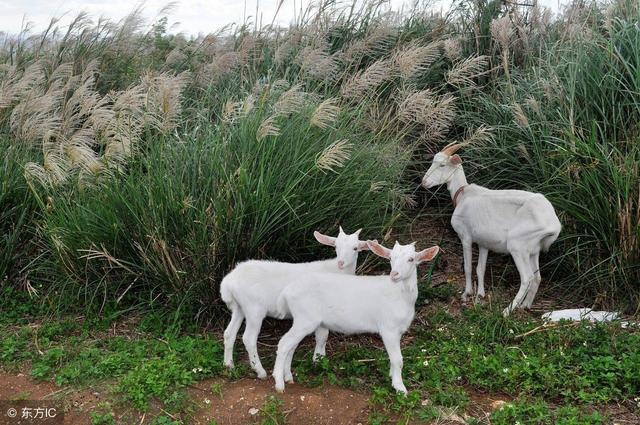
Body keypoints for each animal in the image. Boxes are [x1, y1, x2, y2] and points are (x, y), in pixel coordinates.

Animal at [219, 227, 372, 380]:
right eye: (336, 246)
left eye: (355, 248)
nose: (341, 263)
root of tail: (228, 281)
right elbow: (322, 336)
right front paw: (318, 361)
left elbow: (322, 337)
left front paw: (320, 359)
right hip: (254, 309)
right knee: (249, 338)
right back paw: (260, 371)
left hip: (239, 308)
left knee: (229, 333)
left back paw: (229, 365)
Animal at [270, 240, 440, 392]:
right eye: (390, 258)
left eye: (411, 259)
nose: (394, 274)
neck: (400, 294)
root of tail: (287, 291)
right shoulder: (388, 329)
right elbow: (398, 359)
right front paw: (400, 388)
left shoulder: (398, 331)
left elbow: (395, 359)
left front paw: (392, 377)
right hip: (305, 318)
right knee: (284, 343)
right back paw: (279, 383)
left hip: (301, 319)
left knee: (291, 346)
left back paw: (288, 377)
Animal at [422, 142, 564, 314]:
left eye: (442, 165)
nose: (424, 182)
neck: (463, 195)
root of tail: (553, 224)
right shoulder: (484, 243)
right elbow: (480, 268)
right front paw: (480, 294)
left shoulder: (465, 237)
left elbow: (468, 267)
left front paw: (467, 294)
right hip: (533, 249)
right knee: (537, 277)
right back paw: (525, 305)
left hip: (518, 245)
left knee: (527, 278)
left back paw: (507, 311)